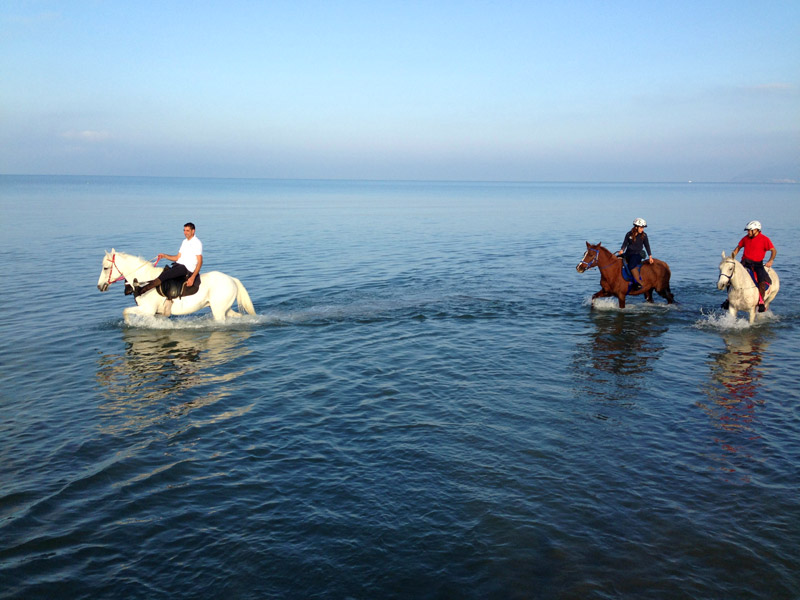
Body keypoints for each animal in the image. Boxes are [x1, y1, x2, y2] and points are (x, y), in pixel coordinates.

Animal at [96, 250, 256, 324]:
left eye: (105, 268)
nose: (99, 286)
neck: (144, 282)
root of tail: (232, 279)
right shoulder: (155, 313)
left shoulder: (147, 310)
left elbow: (125, 311)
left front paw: (129, 323)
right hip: (223, 308)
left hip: (218, 311)